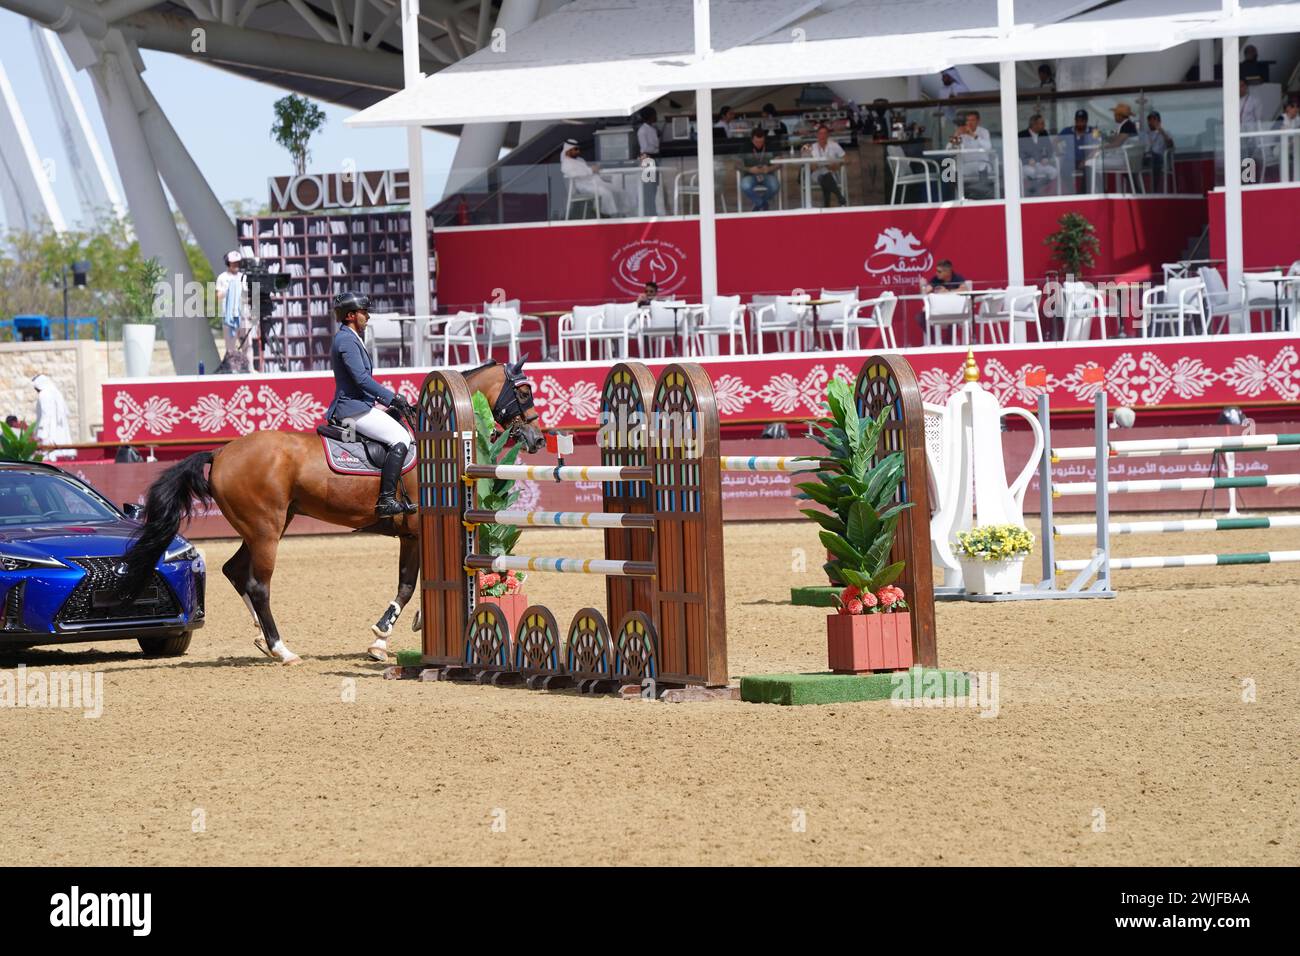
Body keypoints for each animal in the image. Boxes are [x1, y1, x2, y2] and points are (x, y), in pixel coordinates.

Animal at [122, 358, 543, 665]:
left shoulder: (410, 534)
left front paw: (393, 636)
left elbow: (408, 585)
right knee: (258, 585)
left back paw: (261, 636)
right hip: (266, 530)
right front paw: (382, 636)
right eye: (523, 392)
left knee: (234, 570)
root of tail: (221, 451)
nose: (538, 439)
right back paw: (281, 649)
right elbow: (408, 587)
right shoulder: (418, 531)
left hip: (264, 526)